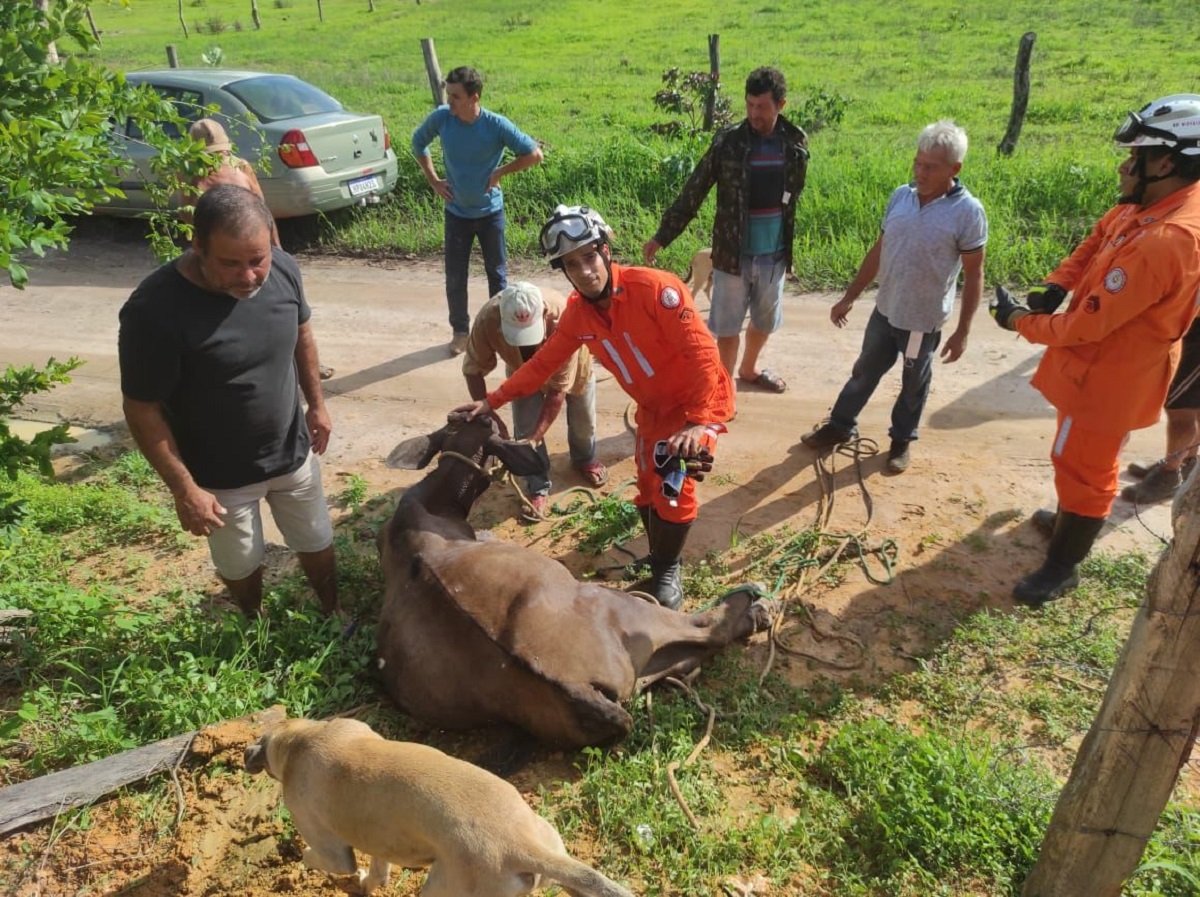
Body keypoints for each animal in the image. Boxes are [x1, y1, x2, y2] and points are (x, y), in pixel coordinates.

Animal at [243, 714, 638, 897]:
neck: (299, 739)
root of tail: (522, 844)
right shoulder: (381, 843)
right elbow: (378, 871)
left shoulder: (332, 850)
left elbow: (317, 857)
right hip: (559, 858)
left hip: (443, 888)